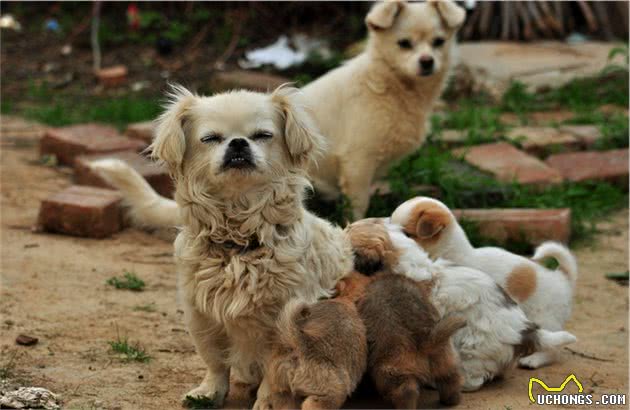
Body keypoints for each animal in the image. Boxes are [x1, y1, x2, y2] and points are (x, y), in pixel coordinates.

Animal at [91, 85, 356, 408]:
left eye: (263, 135)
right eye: (210, 139)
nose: (238, 143)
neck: (238, 240)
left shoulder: (283, 324)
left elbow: (273, 374)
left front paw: (267, 403)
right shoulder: (201, 316)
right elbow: (214, 361)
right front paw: (208, 392)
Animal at [360, 270, 464, 408]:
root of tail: (425, 339)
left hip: (392, 369)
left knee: (406, 391)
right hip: (445, 356)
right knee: (450, 377)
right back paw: (451, 399)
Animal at [392, 195, 580, 368]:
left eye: (407, 234)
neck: (448, 251)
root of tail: (563, 277)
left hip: (545, 318)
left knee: (553, 348)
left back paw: (534, 360)